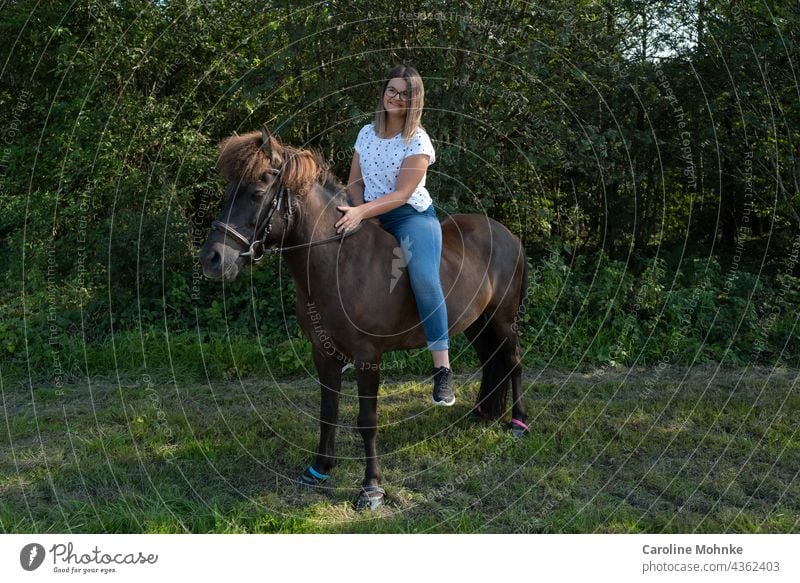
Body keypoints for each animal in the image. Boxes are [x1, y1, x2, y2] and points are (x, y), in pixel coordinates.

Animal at [197, 129, 528, 512]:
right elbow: (328, 411)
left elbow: (367, 421)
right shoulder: (323, 352)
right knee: (491, 361)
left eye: (256, 193)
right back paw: (482, 413)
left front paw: (371, 489)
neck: (340, 261)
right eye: (227, 193)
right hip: (476, 322)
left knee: (513, 362)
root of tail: (508, 235)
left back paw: (518, 422)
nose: (212, 259)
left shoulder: (368, 357)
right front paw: (319, 469)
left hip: (503, 320)